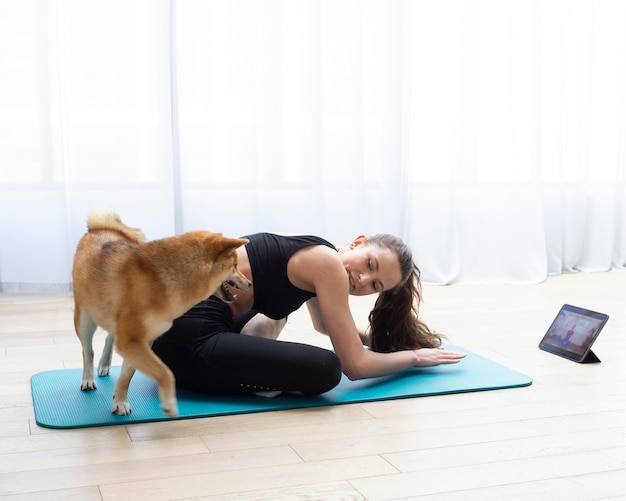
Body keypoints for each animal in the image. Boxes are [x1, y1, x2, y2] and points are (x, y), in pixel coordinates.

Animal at [72, 209, 250, 416]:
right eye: (235, 265)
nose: (250, 283)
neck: (163, 280)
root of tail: (99, 229)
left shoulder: (141, 342)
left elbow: (126, 376)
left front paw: (119, 401)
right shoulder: (132, 342)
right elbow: (166, 373)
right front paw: (169, 404)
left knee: (109, 337)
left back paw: (104, 364)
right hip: (85, 319)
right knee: (87, 350)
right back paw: (88, 378)